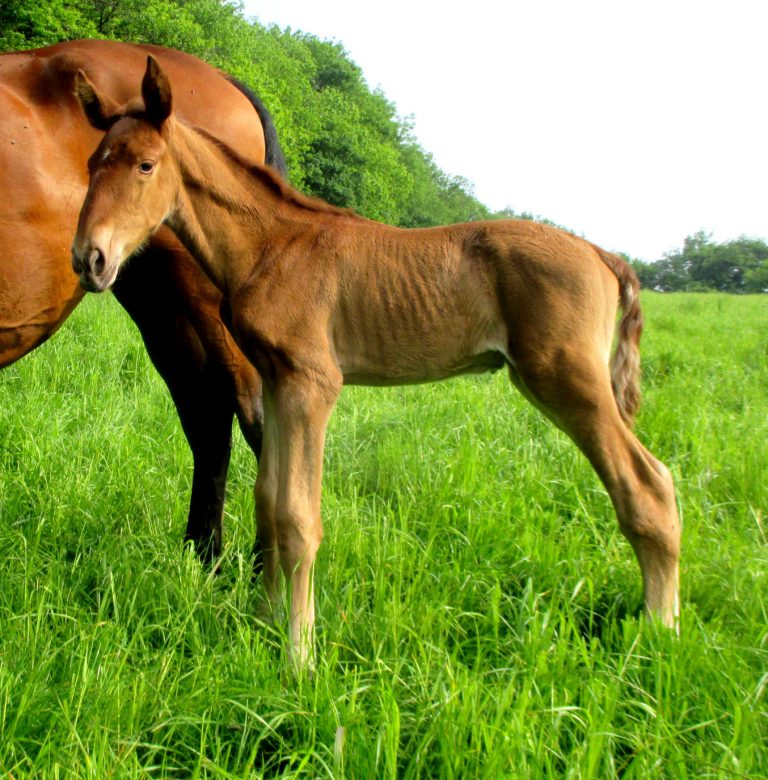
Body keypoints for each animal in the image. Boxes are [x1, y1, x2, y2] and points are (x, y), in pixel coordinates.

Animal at [0, 39, 287, 561]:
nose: (85, 257)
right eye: (91, 165)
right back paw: (204, 558)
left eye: (145, 165)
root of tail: (224, 79)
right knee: (206, 416)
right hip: (163, 308)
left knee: (252, 416)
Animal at [72, 57, 681, 671]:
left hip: (567, 379)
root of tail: (604, 256)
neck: (272, 244)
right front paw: (264, 624)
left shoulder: (313, 383)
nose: (89, 258)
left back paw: (661, 633)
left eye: (145, 164)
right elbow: (267, 502)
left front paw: (298, 655)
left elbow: (297, 517)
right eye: (92, 162)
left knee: (649, 485)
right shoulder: (277, 379)